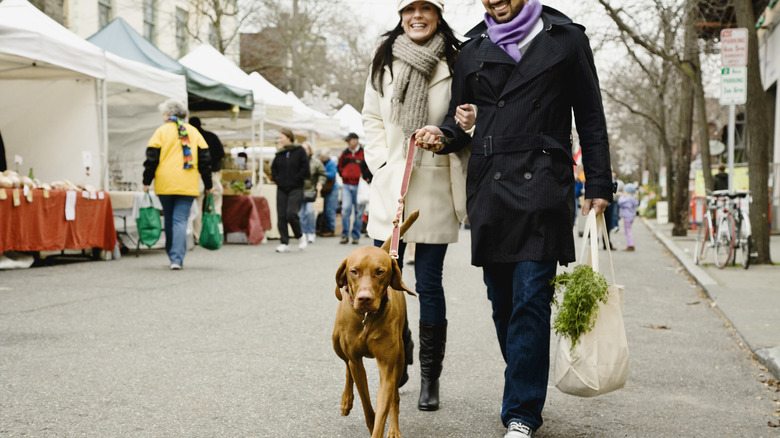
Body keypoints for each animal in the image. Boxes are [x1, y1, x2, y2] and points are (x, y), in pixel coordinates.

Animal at [334, 210, 424, 436]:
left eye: (380, 272)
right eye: (354, 271)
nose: (364, 299)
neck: (367, 318)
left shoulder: (388, 366)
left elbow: (384, 407)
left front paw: (385, 427)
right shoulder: (356, 361)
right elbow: (366, 403)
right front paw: (366, 415)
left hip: (399, 359)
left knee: (395, 397)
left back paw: (394, 428)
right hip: (336, 343)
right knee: (346, 366)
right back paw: (346, 400)